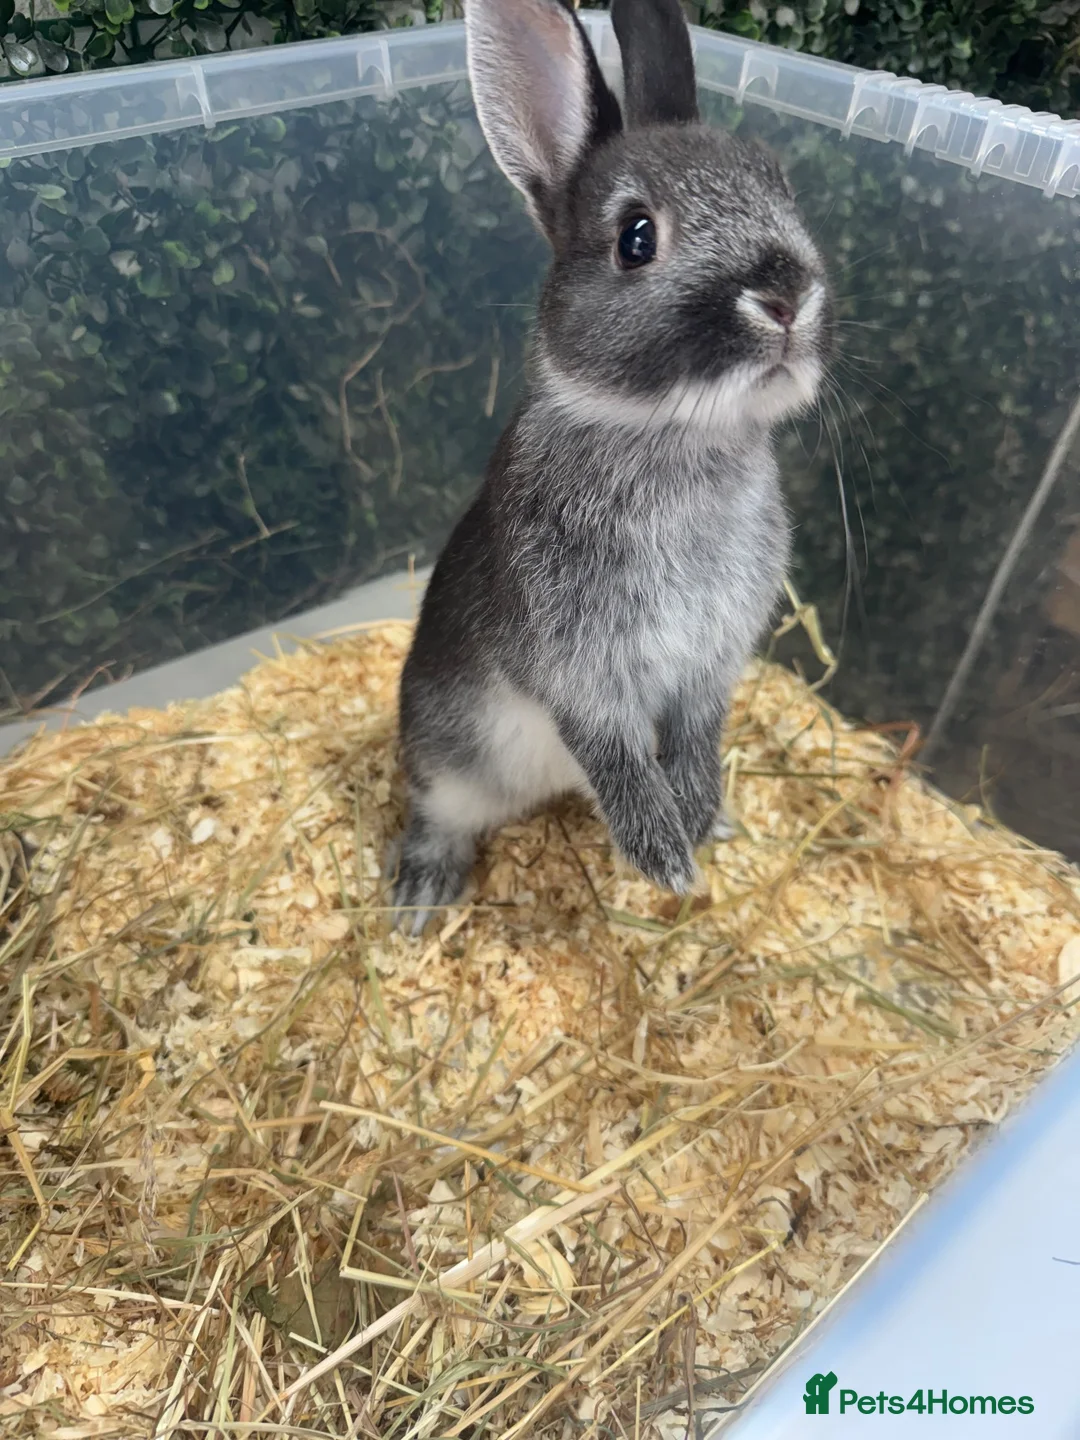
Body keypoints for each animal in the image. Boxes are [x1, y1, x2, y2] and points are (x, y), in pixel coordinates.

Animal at [390, 0, 832, 934]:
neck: (672, 437)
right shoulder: (577, 671)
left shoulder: (709, 666)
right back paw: (418, 901)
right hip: (444, 756)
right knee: (435, 814)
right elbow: (615, 752)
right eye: (636, 238)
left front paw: (698, 816)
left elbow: (696, 735)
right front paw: (665, 859)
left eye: (781, 189)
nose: (786, 296)